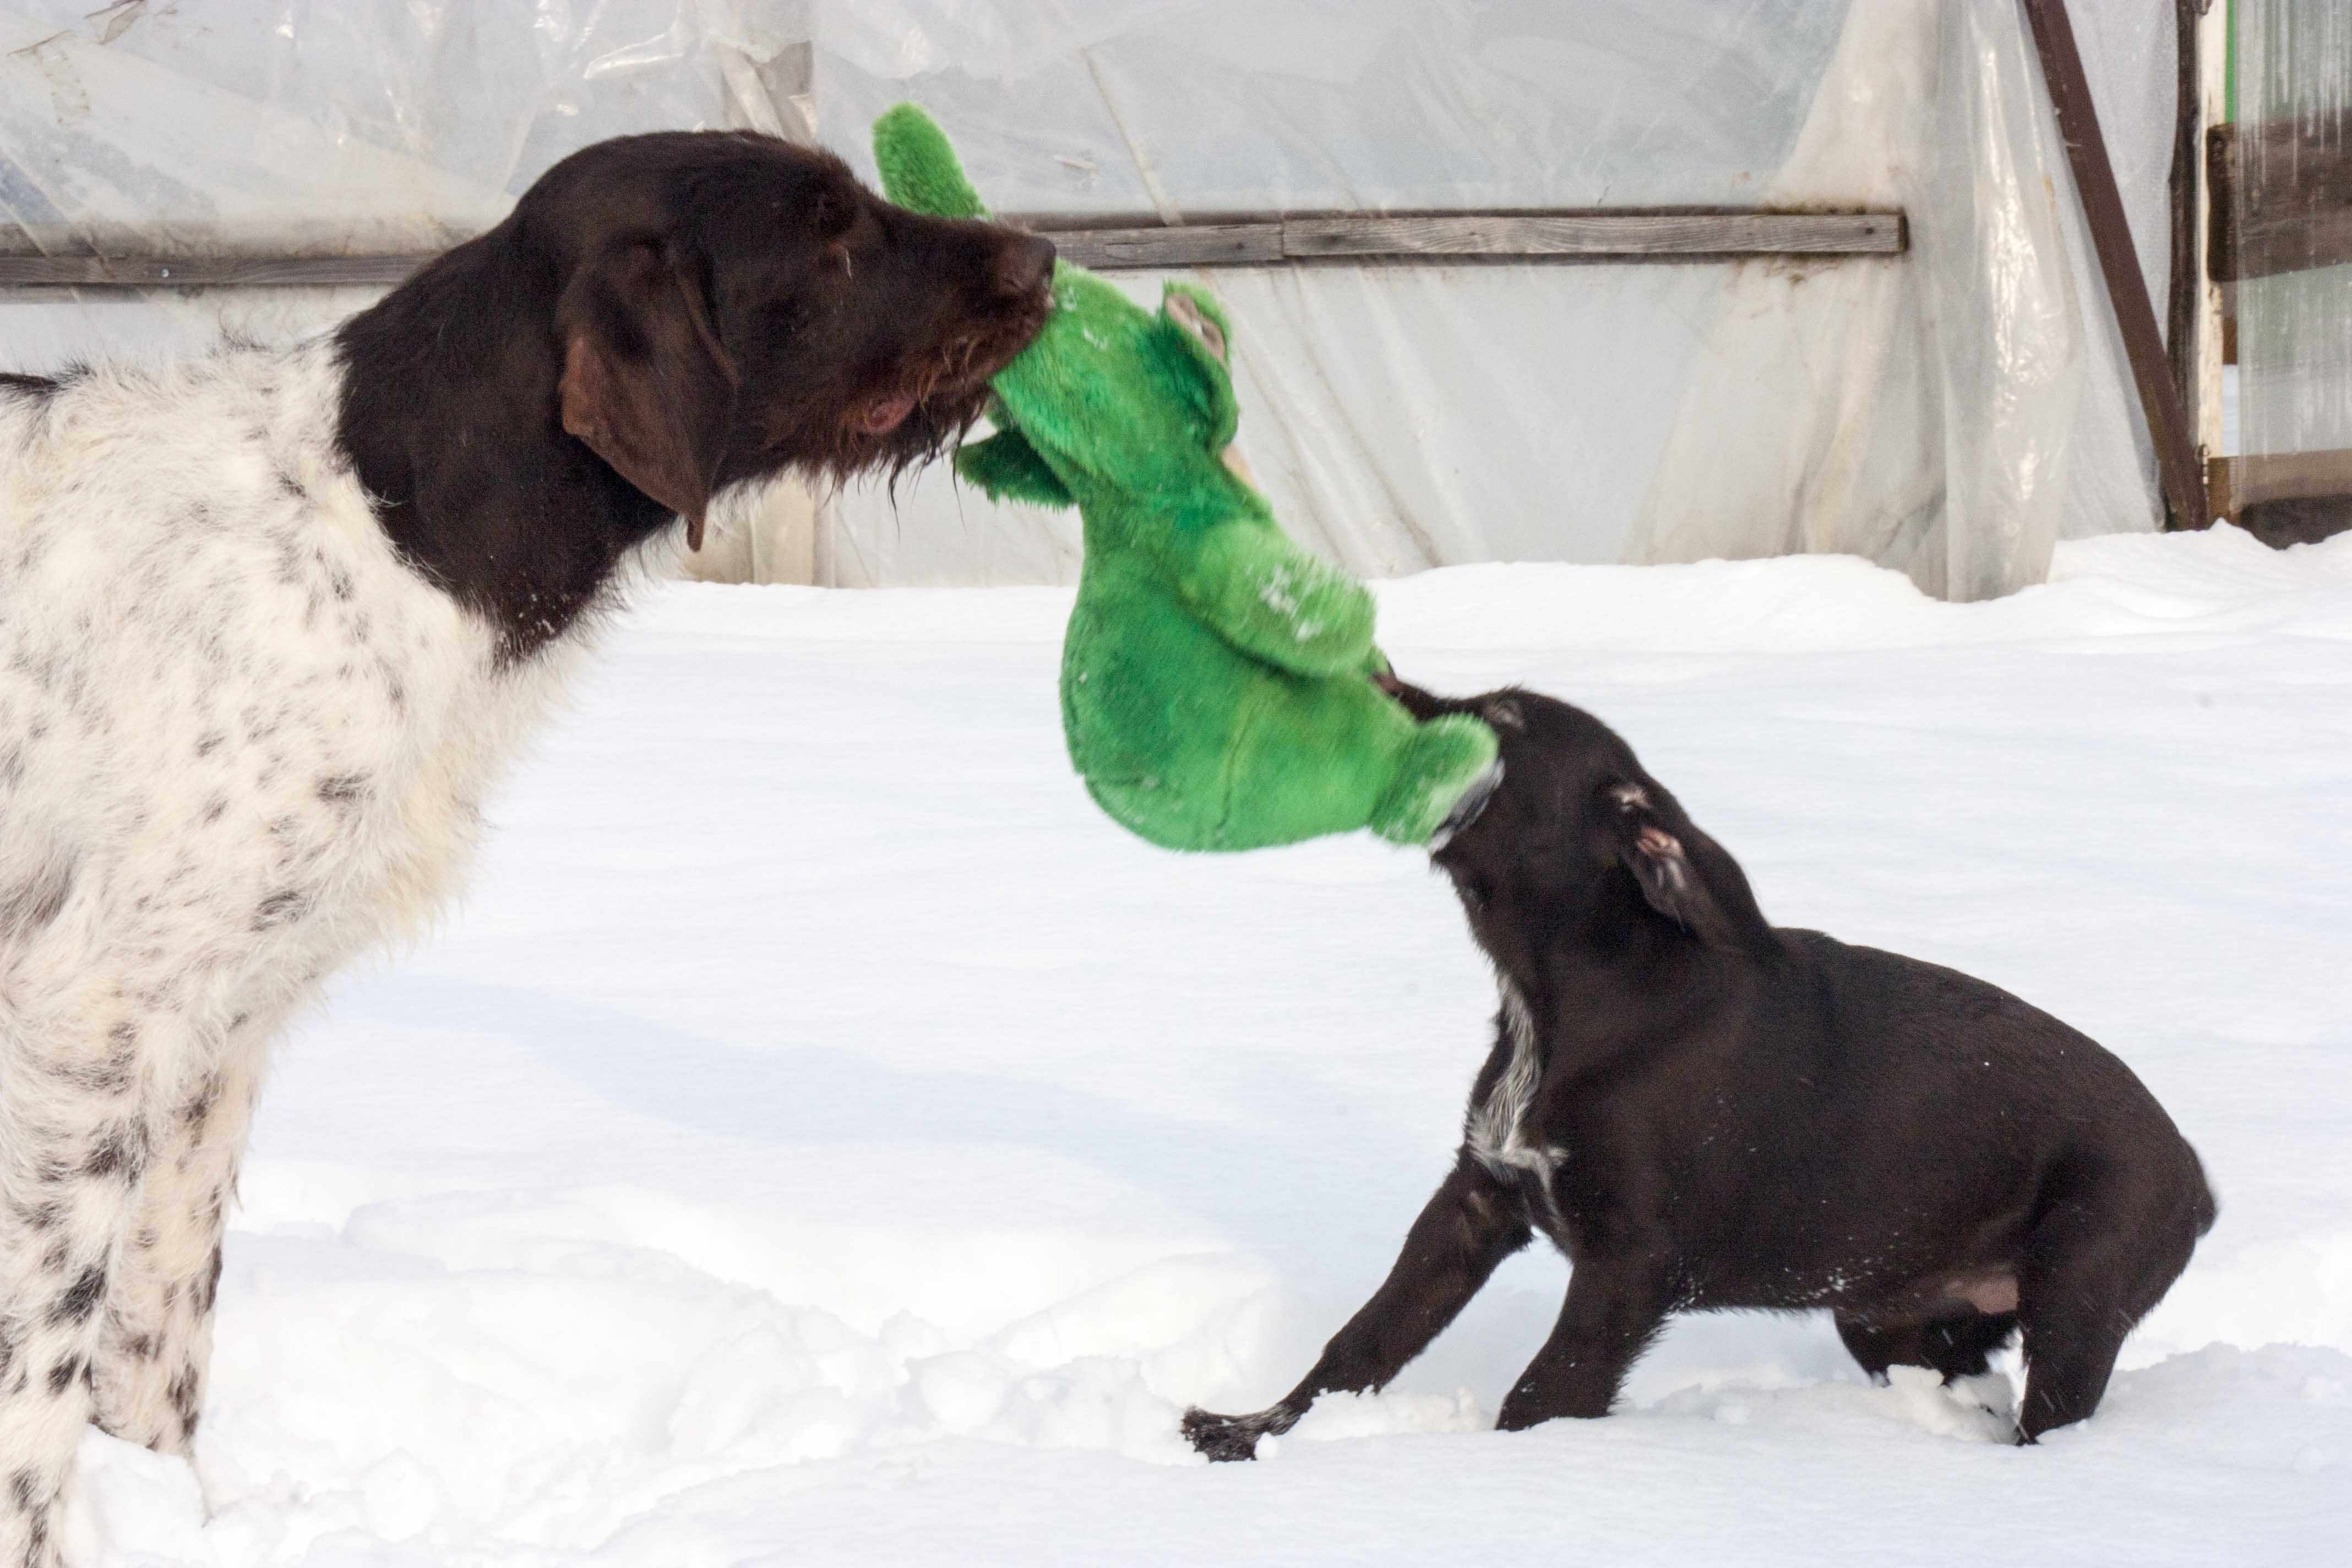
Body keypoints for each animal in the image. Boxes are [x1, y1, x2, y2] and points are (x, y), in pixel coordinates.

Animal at [0, 130, 1052, 1563]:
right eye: (829, 229)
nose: (1043, 259)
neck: (390, 520)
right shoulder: (92, 1026)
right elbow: (41, 1379)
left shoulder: (217, 1038)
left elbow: (162, 1341)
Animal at [1184, 682, 2214, 1458]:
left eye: (1505, 718)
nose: (1379, 675)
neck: (1562, 998)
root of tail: (2199, 1179)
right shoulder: (1475, 1201)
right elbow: (1363, 1340)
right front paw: (1252, 1432)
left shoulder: (1632, 1262)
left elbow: (1545, 1390)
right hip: (1893, 1312)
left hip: (2078, 1291)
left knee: (2051, 1414)